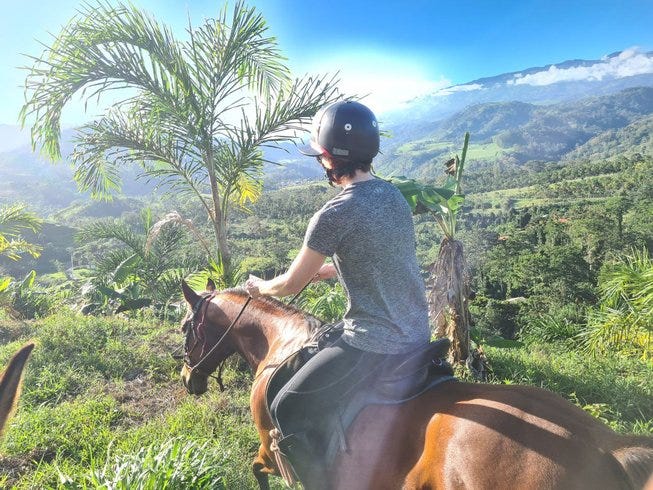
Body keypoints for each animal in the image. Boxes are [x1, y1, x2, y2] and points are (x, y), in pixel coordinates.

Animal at [178, 284, 652, 490]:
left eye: (184, 327)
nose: (188, 380)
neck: (282, 345)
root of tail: (605, 447)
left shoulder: (271, 448)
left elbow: (255, 469)